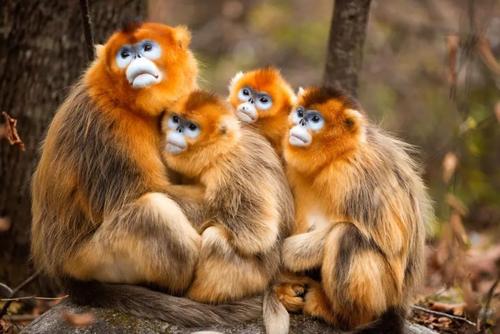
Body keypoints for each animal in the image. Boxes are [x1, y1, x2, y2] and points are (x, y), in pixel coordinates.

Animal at [31, 22, 260, 326]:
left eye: (147, 47)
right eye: (124, 54)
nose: (136, 58)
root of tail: (57, 267)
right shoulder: (105, 123)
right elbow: (145, 192)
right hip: (85, 261)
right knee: (154, 212)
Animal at [162, 90, 294, 332]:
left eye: (192, 127)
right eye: (176, 120)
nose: (177, 131)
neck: (221, 149)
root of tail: (272, 276)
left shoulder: (232, 168)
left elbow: (256, 233)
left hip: (253, 277)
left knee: (215, 239)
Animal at [280, 87, 432, 334]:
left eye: (315, 119)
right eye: (300, 112)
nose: (300, 121)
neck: (335, 158)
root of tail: (401, 302)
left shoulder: (354, 171)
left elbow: (392, 242)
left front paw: (289, 253)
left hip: (386, 291)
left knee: (347, 236)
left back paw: (338, 315)